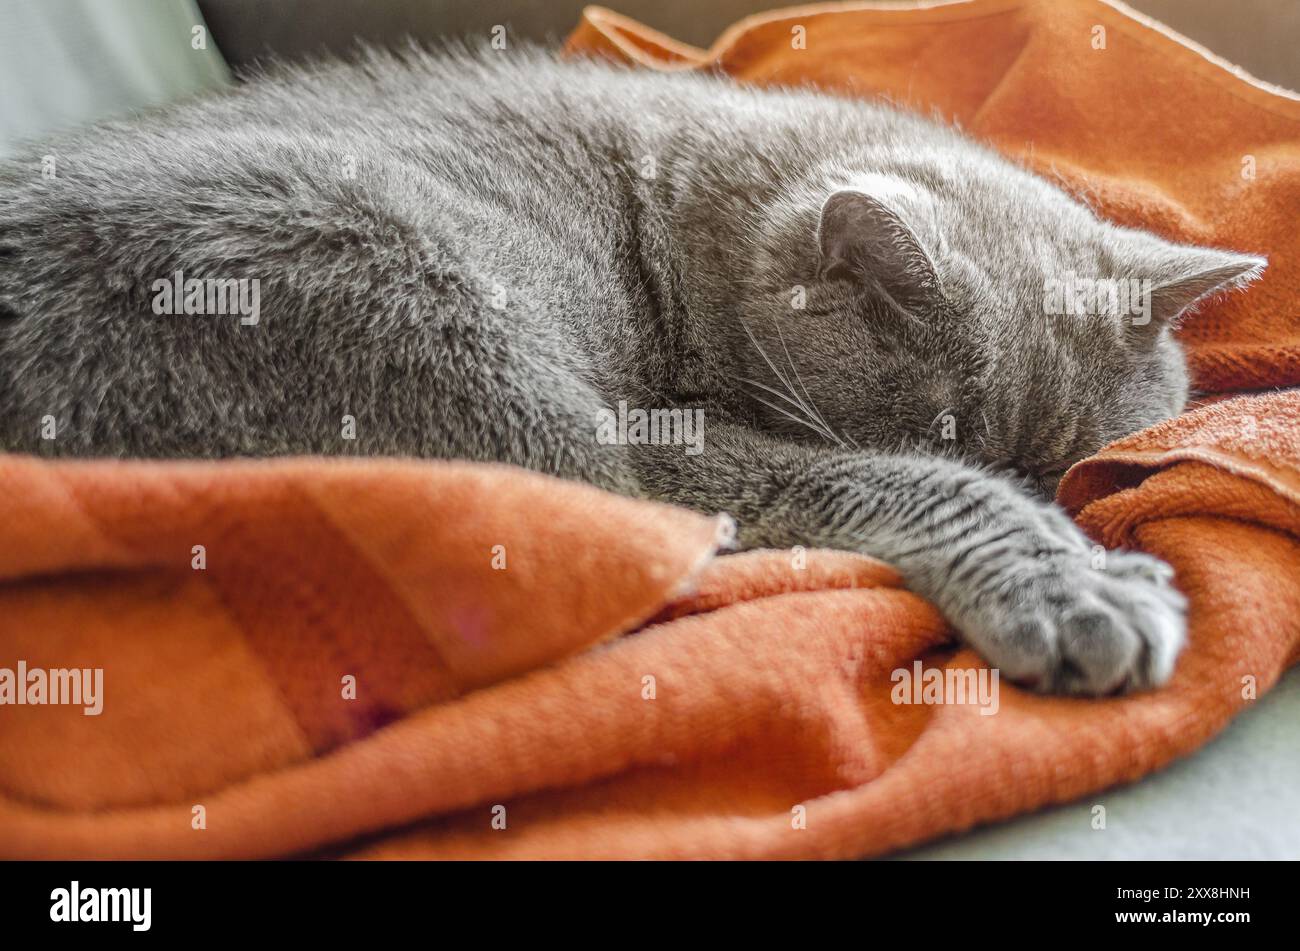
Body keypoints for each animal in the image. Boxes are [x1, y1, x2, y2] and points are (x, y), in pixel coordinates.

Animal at [0, 44, 1258, 696]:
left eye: (1067, 461)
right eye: (946, 435)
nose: (1051, 499)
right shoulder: (675, 435)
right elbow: (892, 484)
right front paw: (1082, 589)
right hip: (403, 288)